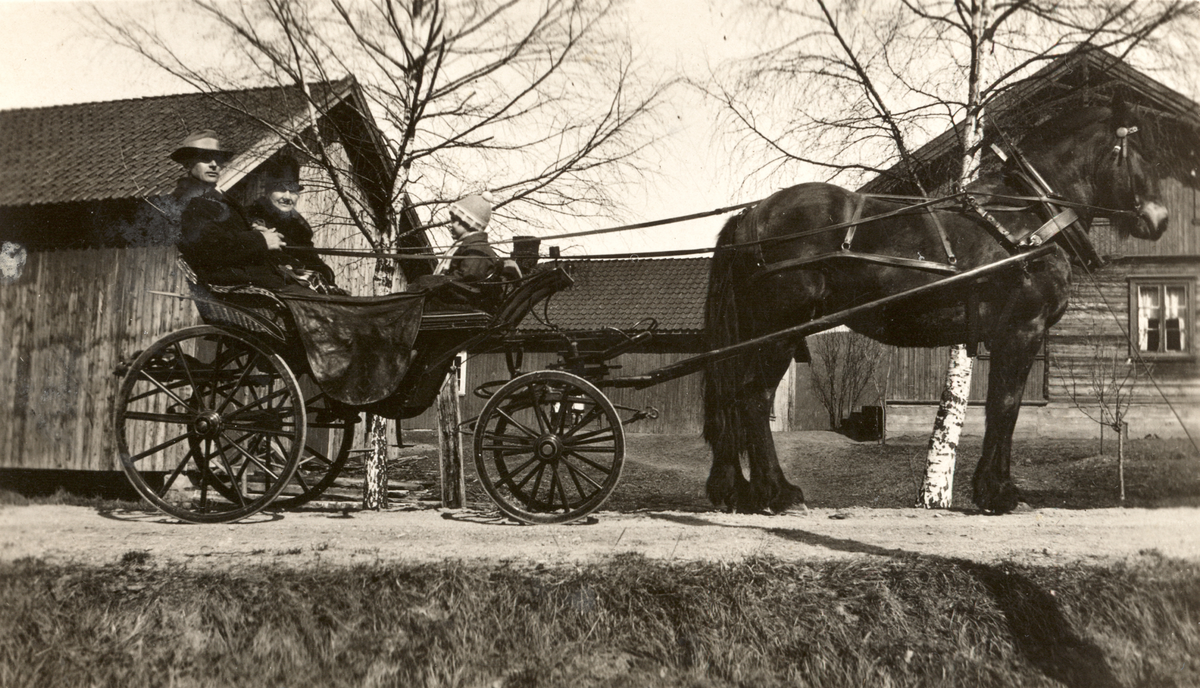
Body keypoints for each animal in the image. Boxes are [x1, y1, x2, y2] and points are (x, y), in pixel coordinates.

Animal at [705, 97, 1166, 513]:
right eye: (1138, 153)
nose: (1159, 220)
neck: (1027, 218)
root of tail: (752, 216)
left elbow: (1001, 406)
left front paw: (992, 489)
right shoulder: (1022, 329)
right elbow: (1006, 406)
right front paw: (999, 493)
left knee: (732, 399)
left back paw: (737, 491)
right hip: (778, 332)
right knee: (753, 400)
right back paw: (778, 493)